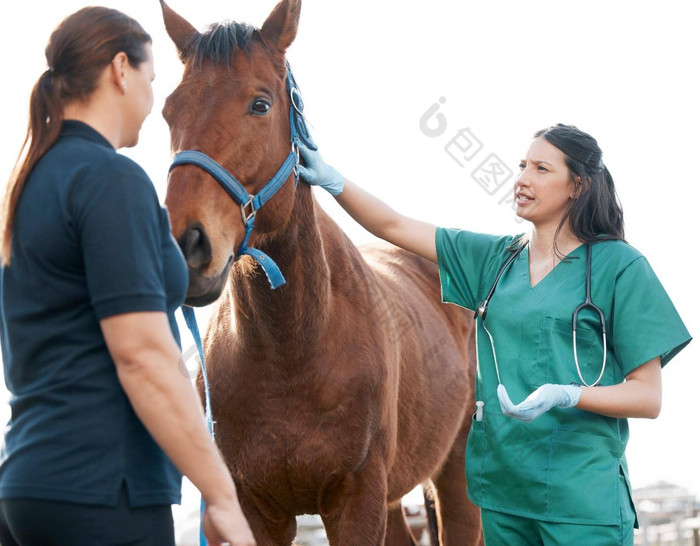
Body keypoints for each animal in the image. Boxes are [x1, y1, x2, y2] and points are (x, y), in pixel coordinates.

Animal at [161, 2, 484, 540]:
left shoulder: (356, 501)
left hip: (455, 477)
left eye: (260, 104)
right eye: (168, 110)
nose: (184, 243)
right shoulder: (255, 509)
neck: (292, 349)